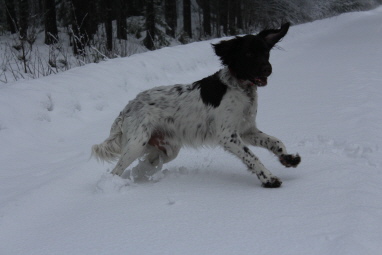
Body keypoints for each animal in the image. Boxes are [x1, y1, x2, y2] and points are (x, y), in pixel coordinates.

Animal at [91, 22, 300, 187]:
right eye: (248, 53)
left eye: (266, 52)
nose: (267, 69)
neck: (239, 87)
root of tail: (127, 107)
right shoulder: (228, 135)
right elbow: (252, 156)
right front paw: (269, 178)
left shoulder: (246, 129)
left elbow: (275, 141)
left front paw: (288, 158)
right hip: (137, 143)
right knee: (117, 170)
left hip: (167, 148)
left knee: (144, 165)